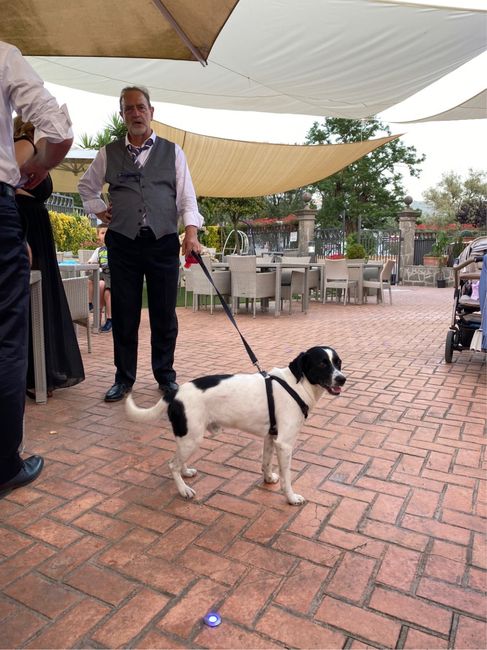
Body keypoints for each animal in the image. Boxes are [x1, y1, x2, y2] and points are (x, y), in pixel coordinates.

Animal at [127, 344, 346, 502]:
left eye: (338, 363)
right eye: (322, 364)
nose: (342, 379)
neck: (298, 385)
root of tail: (175, 392)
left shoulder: (271, 437)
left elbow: (266, 463)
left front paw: (268, 479)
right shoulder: (284, 444)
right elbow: (287, 477)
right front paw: (291, 498)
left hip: (187, 438)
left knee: (178, 460)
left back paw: (186, 472)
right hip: (192, 438)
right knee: (172, 464)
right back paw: (183, 490)